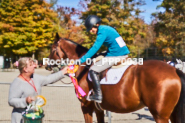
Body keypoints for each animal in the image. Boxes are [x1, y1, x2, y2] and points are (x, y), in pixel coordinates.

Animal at [46, 32, 185, 123]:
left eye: (52, 49)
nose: (47, 66)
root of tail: (175, 71)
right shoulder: (98, 109)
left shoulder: (86, 106)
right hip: (172, 114)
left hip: (160, 115)